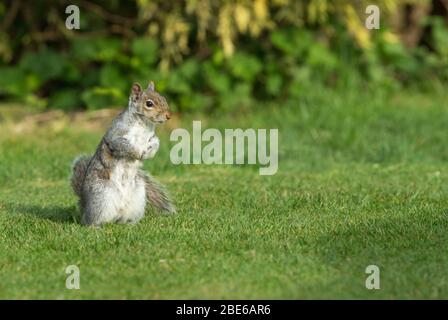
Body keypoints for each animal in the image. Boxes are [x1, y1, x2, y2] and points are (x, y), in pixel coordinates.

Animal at [70, 81, 175, 226]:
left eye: (163, 98)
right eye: (149, 103)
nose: (168, 116)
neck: (144, 124)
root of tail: (84, 204)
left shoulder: (152, 138)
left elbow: (156, 143)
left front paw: (148, 153)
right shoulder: (116, 136)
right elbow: (123, 145)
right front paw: (137, 153)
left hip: (138, 196)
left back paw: (131, 224)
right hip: (101, 196)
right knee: (90, 220)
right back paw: (95, 226)